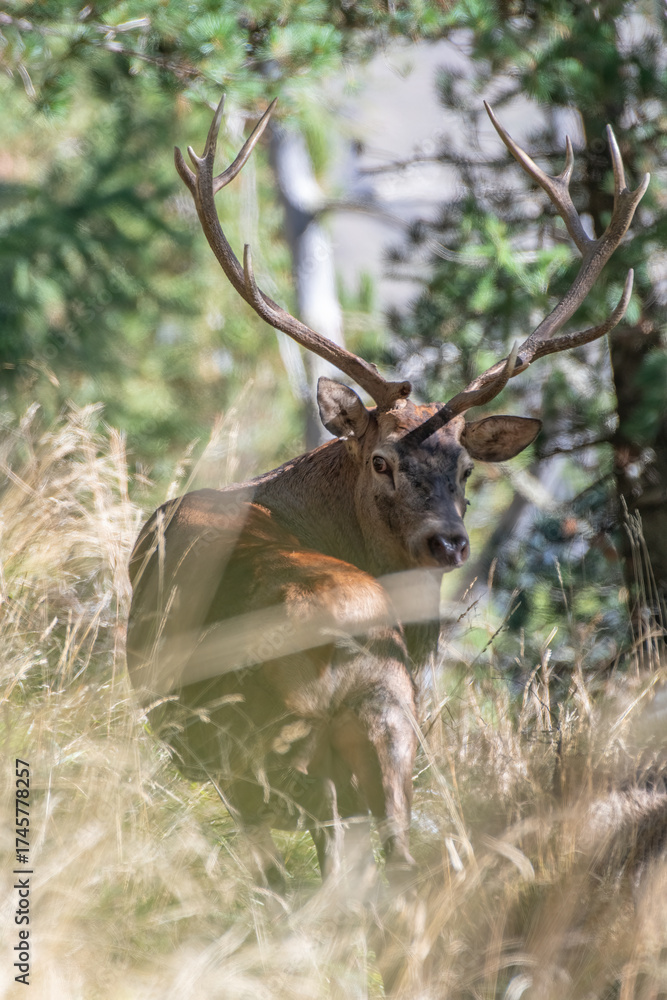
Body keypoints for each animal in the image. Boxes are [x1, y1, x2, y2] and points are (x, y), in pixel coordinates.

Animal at [126, 95, 648, 890]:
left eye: (466, 469)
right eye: (380, 462)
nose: (448, 541)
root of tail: (346, 655)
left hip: (265, 743)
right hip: (390, 727)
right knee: (395, 858)